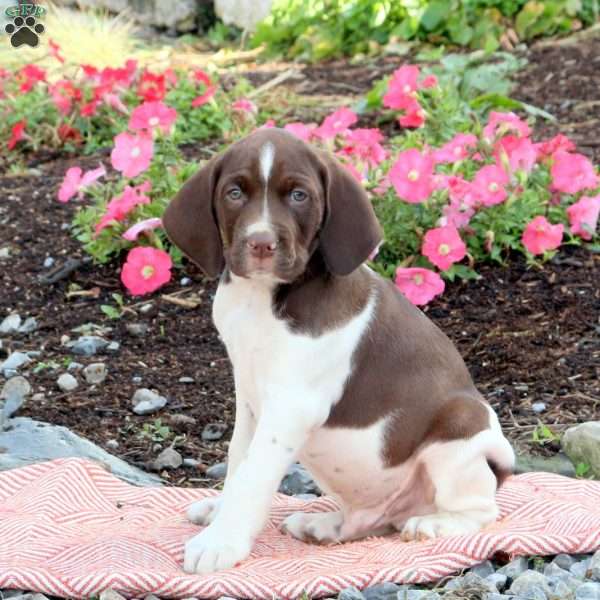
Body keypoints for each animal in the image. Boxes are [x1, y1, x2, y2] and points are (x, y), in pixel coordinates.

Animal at [163, 129, 516, 576]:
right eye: (234, 193)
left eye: (299, 195)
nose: (261, 243)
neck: (262, 298)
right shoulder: (249, 396)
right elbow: (238, 459)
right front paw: (220, 513)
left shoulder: (291, 406)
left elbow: (253, 476)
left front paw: (221, 542)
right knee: (367, 522)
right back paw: (324, 525)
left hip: (460, 430)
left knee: (481, 509)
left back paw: (433, 523)